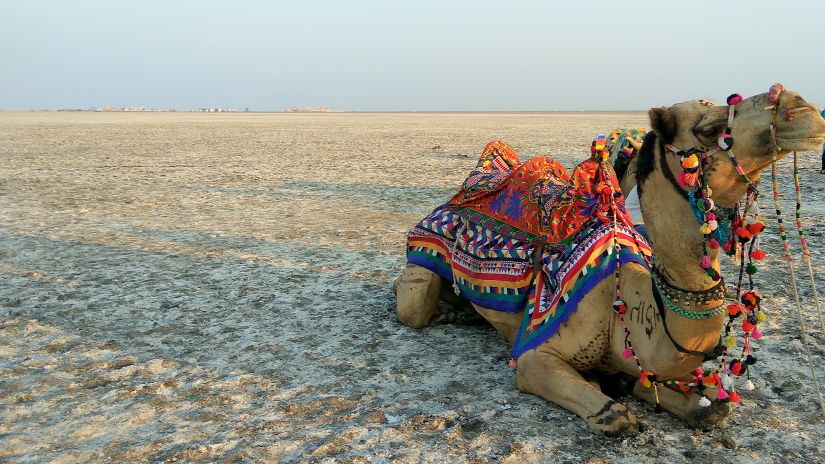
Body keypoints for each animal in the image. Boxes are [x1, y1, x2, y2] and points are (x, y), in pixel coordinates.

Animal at [394, 84, 824, 436]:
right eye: (710, 127)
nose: (801, 107)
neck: (630, 308)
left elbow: (710, 408)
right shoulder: (534, 355)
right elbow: (616, 417)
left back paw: (460, 311)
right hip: (422, 258)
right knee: (411, 303)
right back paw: (444, 310)